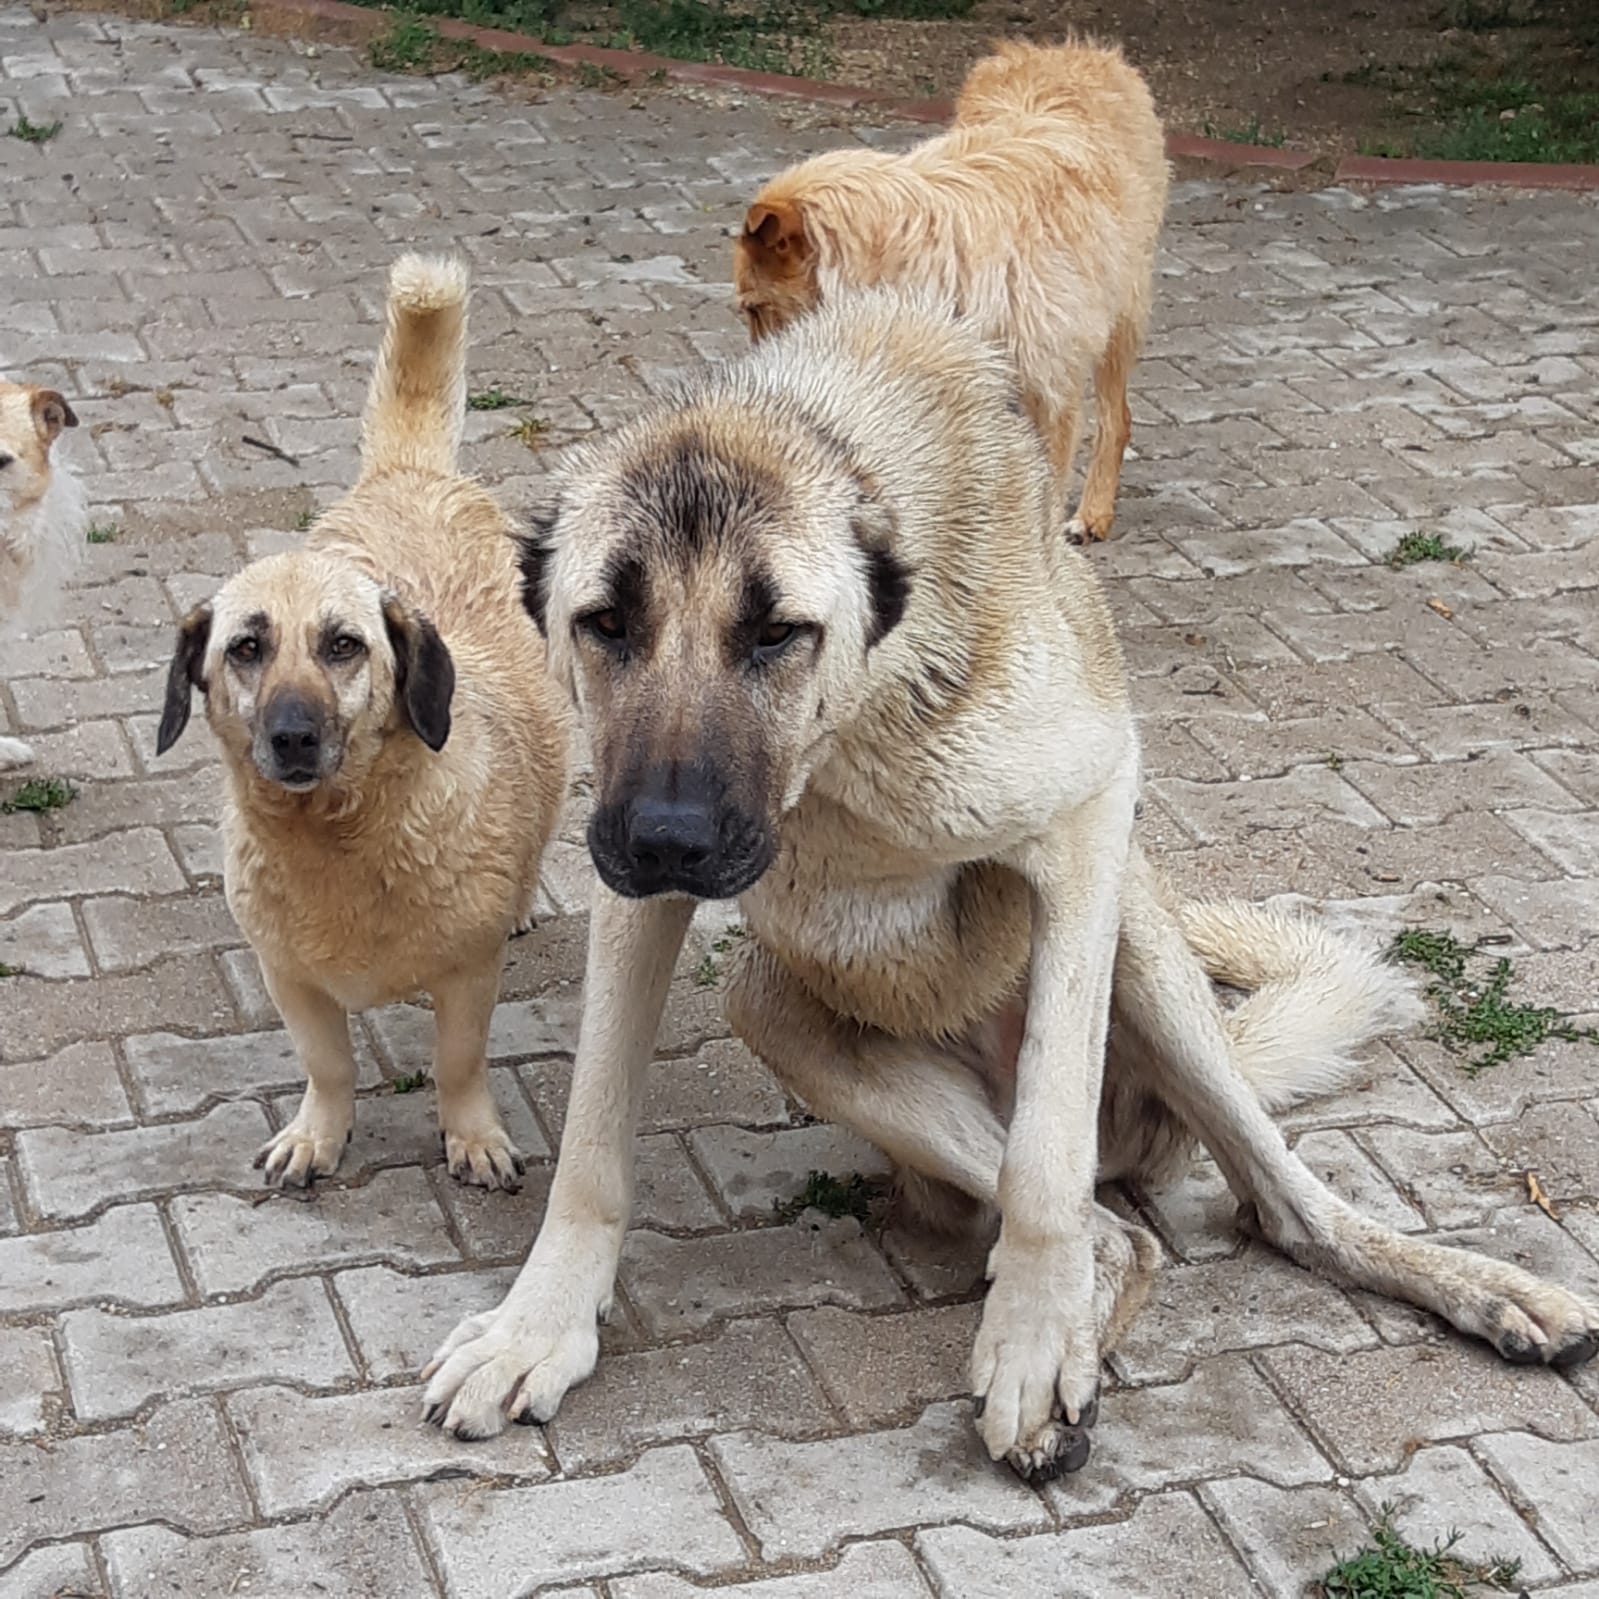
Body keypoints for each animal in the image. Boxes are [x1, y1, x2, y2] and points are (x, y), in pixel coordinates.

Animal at [155, 255, 569, 1196]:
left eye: (343, 645)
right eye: (245, 648)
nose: (292, 736)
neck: (342, 839)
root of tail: (407, 476)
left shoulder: (468, 978)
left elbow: (458, 1064)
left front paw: (471, 1135)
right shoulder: (290, 978)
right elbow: (329, 1065)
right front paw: (320, 1133)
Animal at [418, 291, 1592, 1483]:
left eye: (778, 633)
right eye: (605, 623)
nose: (669, 839)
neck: (842, 750)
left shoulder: (1091, 812)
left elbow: (1046, 1153)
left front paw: (1031, 1337)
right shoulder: (630, 898)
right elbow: (593, 1145)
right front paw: (539, 1327)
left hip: (1142, 949)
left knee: (1264, 1208)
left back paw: (1463, 1290)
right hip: (776, 1006)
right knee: (1124, 1233)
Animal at [732, 38, 1164, 543]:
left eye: (754, 309)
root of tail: (1074, 49)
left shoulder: (1050, 391)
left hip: (1121, 317)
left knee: (1117, 419)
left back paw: (1093, 513)